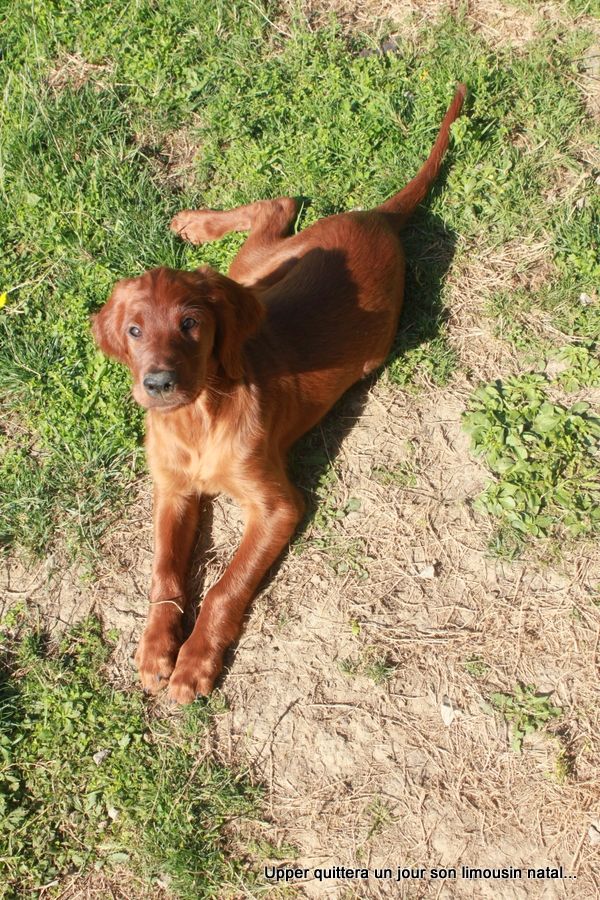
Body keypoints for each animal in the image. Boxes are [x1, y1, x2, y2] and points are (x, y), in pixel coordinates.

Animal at [91, 84, 466, 704]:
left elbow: (225, 585)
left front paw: (194, 662)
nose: (159, 384)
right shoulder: (172, 489)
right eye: (135, 331)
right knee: (280, 206)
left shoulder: (277, 506)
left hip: (286, 289)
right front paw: (156, 646)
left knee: (280, 203)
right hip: (257, 272)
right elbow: (165, 568)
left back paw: (194, 222)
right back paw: (194, 224)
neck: (198, 417)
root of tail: (379, 219)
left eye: (191, 324)